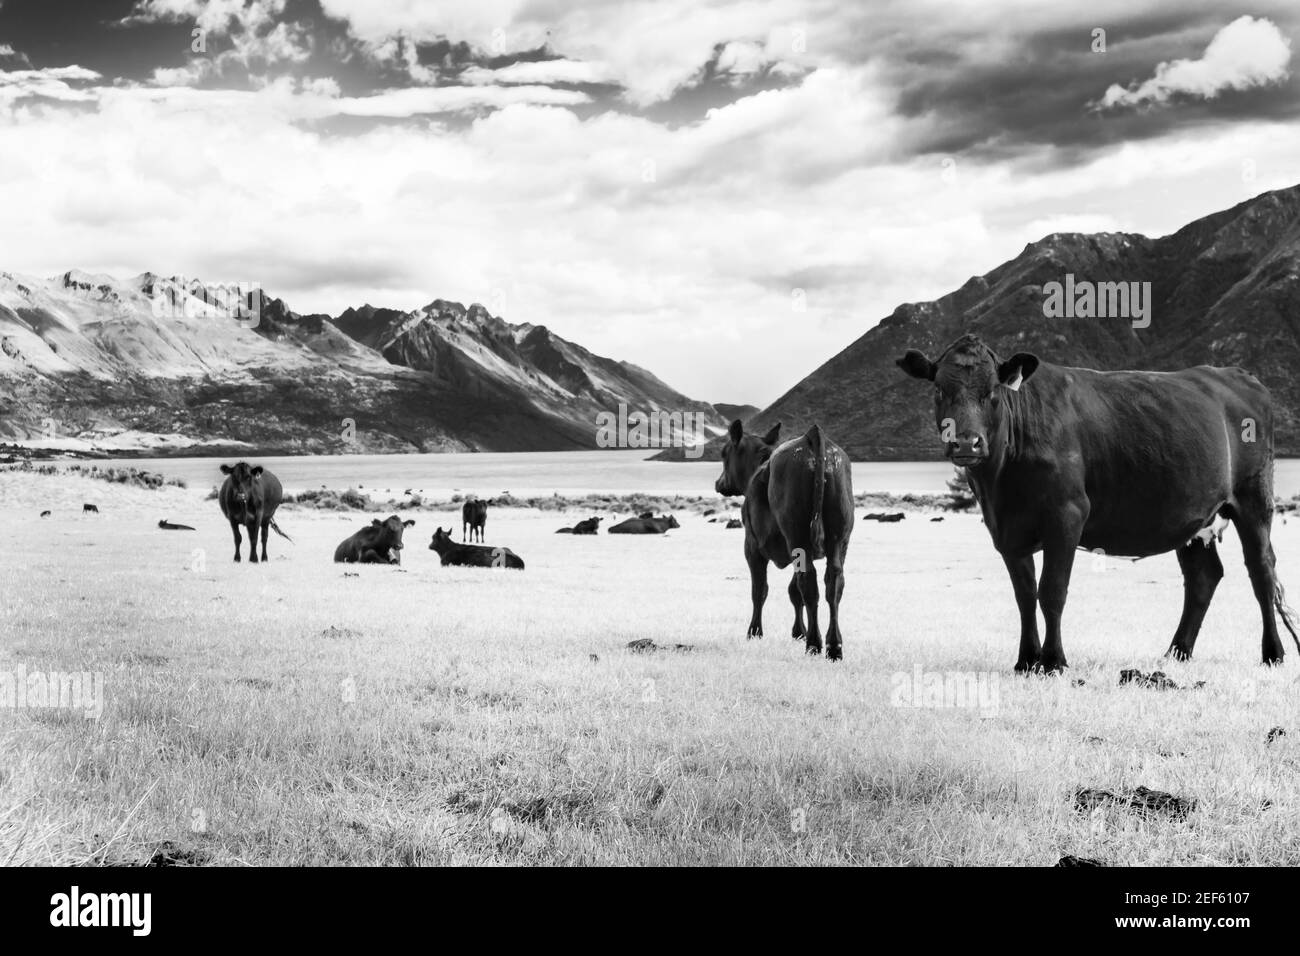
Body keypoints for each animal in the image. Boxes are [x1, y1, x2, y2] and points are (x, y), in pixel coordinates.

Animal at [712, 421, 852, 660]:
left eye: (723, 453)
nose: (719, 482)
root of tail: (811, 436)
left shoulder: (752, 547)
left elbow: (759, 589)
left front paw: (754, 632)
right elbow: (793, 591)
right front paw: (799, 632)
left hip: (798, 534)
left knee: (809, 581)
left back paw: (814, 644)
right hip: (838, 536)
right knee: (833, 582)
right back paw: (834, 646)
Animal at [899, 335, 1300, 671]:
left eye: (993, 392)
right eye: (939, 390)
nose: (966, 442)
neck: (1000, 484)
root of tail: (1235, 374)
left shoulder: (1067, 515)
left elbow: (1052, 591)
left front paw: (1054, 661)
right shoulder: (1007, 530)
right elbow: (1024, 594)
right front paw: (1026, 661)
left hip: (1253, 499)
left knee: (1261, 571)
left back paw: (1273, 653)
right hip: (1193, 513)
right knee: (1204, 576)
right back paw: (1177, 653)